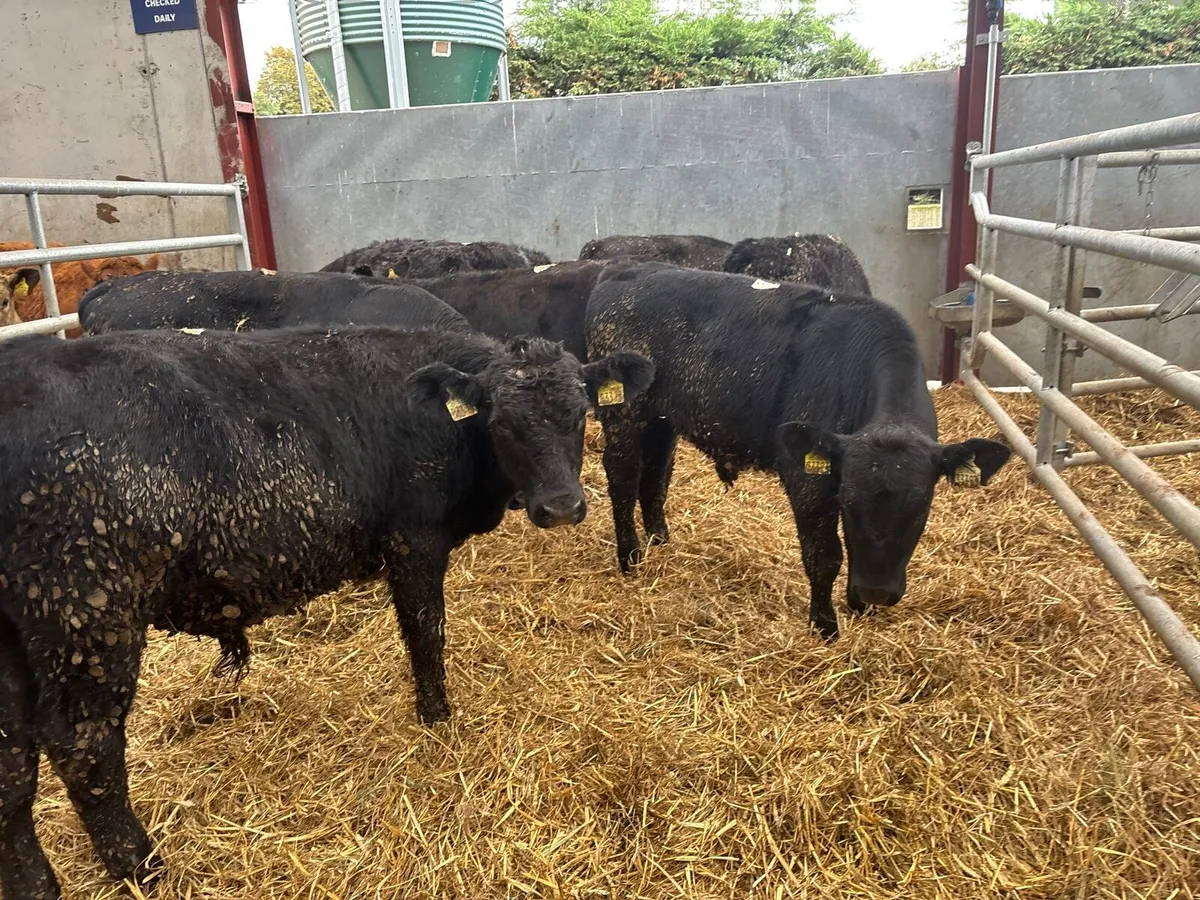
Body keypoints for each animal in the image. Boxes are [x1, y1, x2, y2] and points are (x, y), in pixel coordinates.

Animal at [0, 324, 654, 899]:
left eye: (582, 412)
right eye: (502, 422)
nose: (562, 507)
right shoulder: (414, 542)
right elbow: (426, 634)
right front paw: (437, 719)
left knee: (13, 763)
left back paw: (39, 886)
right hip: (88, 614)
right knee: (83, 746)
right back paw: (144, 868)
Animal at [586, 262, 1010, 641]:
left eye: (921, 507)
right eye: (849, 503)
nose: (876, 592)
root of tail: (626, 270)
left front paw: (858, 607)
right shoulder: (807, 480)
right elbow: (825, 557)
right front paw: (825, 625)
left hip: (662, 420)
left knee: (655, 474)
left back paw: (660, 539)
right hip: (623, 412)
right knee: (623, 476)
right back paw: (630, 557)